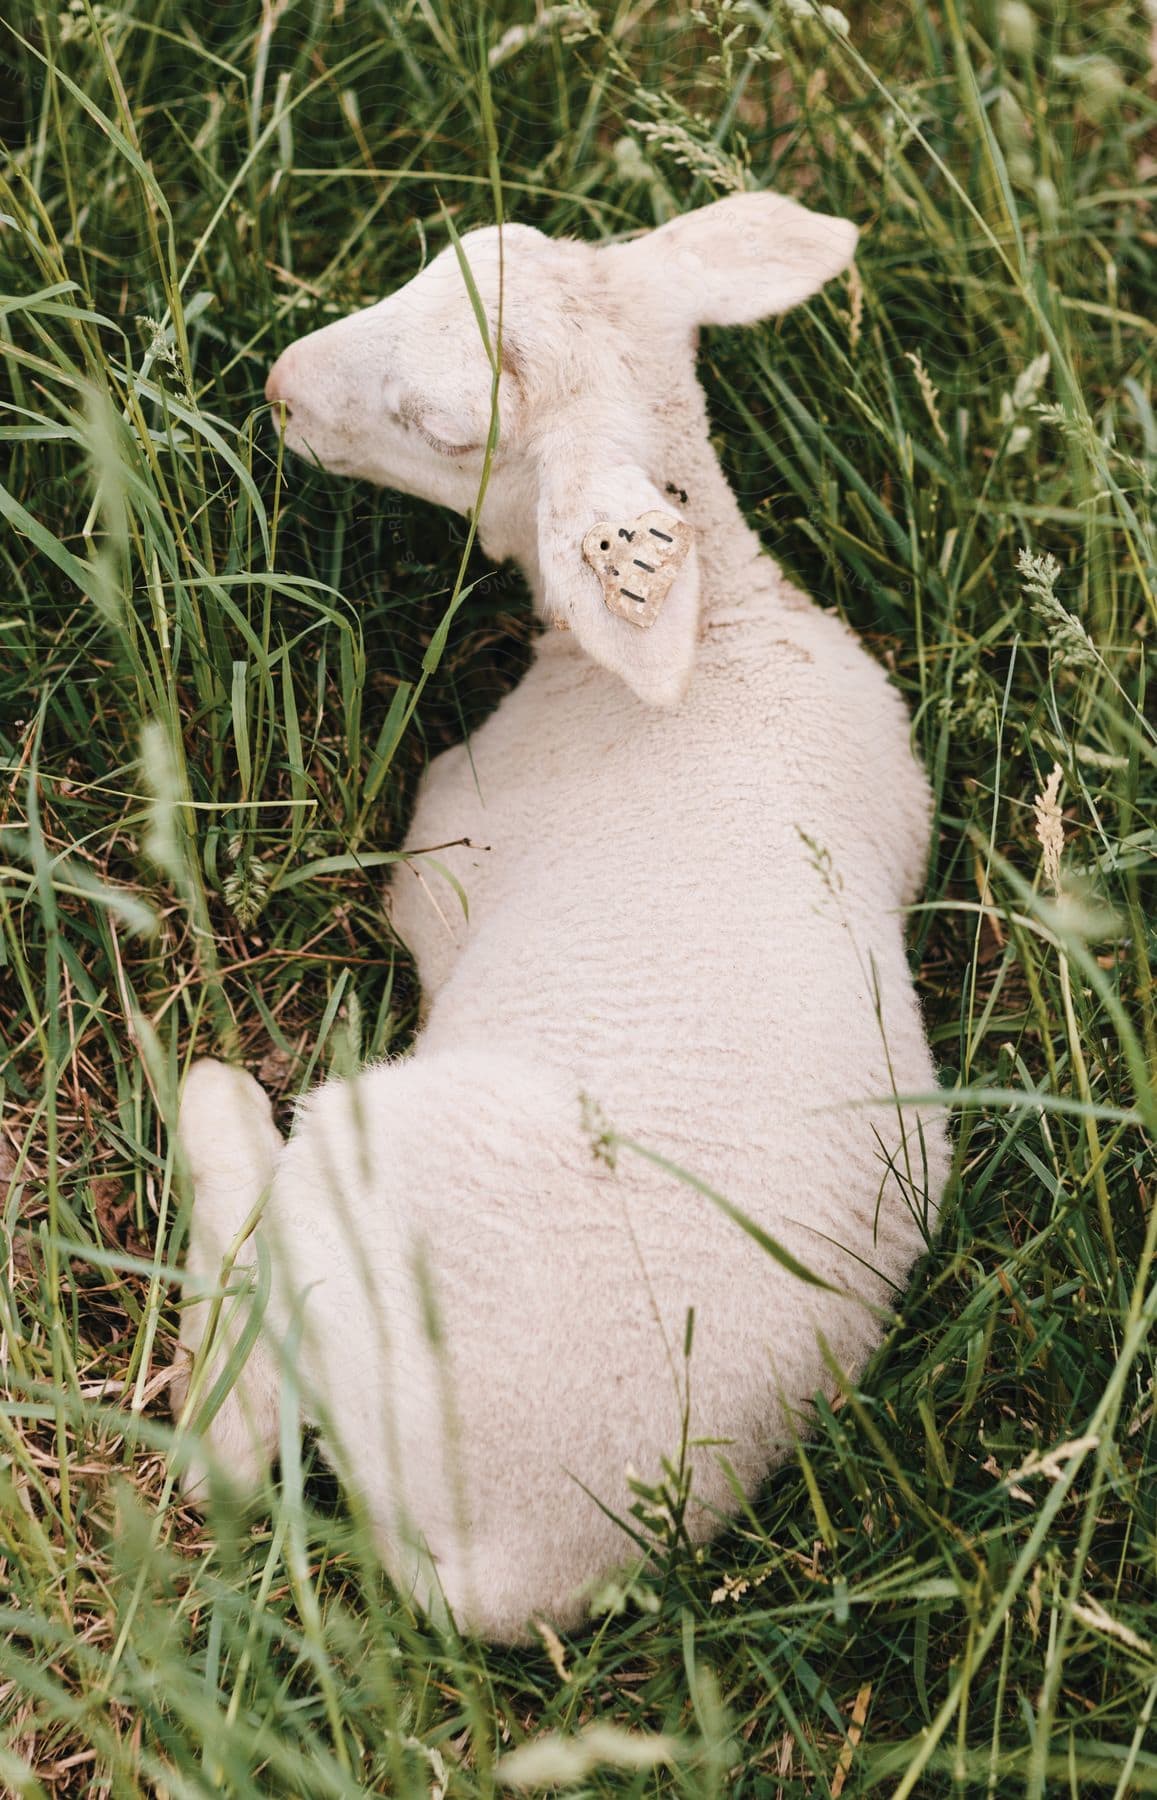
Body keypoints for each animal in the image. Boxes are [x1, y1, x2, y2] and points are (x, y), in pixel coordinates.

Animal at [171, 197, 950, 1648]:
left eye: (440, 427)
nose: (283, 386)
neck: (722, 635)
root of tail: (509, 1573)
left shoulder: (444, 848)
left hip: (363, 1187)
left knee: (229, 1445)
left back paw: (215, 1103)